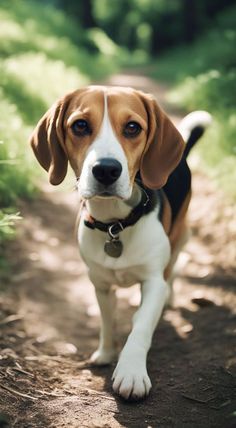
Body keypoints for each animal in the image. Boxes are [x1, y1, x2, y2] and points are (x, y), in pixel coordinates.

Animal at [29, 87, 210, 402]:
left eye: (133, 127)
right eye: (80, 125)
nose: (106, 170)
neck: (116, 224)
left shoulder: (152, 281)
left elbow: (141, 326)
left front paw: (131, 372)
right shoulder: (100, 283)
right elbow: (107, 321)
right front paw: (106, 352)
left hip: (180, 236)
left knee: (173, 269)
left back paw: (171, 296)